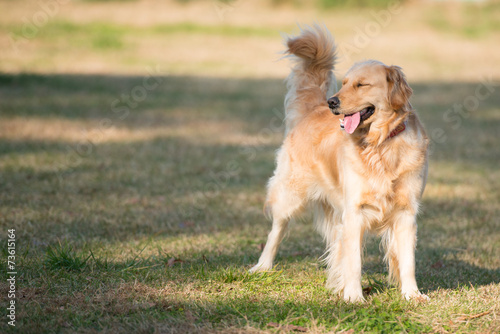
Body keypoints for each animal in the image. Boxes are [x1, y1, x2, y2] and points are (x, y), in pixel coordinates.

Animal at [250, 25, 430, 302]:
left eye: (361, 84)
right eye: (344, 83)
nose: (332, 102)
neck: (379, 145)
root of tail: (313, 108)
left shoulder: (406, 213)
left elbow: (407, 261)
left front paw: (412, 294)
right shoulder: (354, 212)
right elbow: (354, 261)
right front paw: (354, 296)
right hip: (290, 194)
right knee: (276, 229)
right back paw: (262, 266)